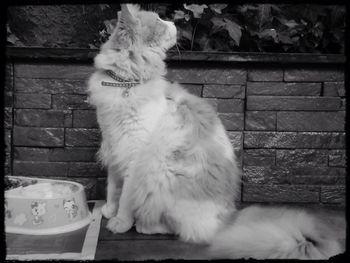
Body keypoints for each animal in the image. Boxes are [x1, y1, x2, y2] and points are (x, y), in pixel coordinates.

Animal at [87, 3, 344, 260]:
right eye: (159, 22)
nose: (174, 23)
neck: (125, 84)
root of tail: (229, 217)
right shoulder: (114, 149)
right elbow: (113, 188)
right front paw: (108, 210)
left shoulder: (134, 158)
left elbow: (126, 197)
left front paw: (120, 222)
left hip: (163, 176)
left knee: (178, 228)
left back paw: (144, 226)